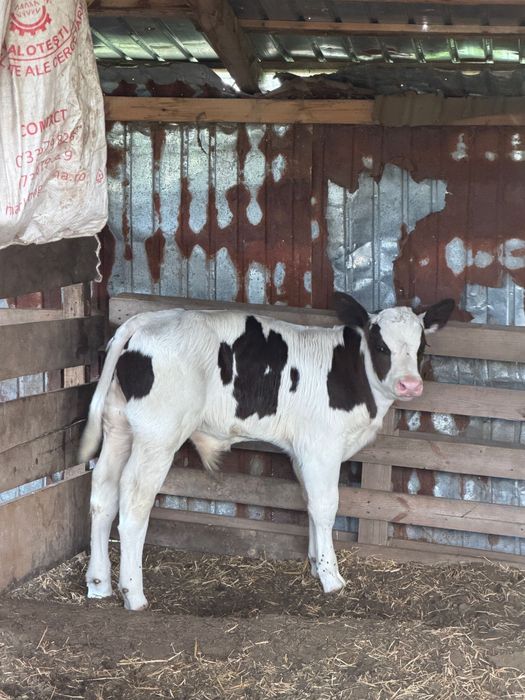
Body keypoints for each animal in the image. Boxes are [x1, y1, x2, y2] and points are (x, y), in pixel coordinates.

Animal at [79, 293, 454, 611]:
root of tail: (144, 320)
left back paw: (99, 584)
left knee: (102, 492)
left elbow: (309, 502)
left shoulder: (302, 451)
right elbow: (325, 507)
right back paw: (133, 593)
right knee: (133, 499)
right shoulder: (321, 447)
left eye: (422, 346)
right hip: (158, 435)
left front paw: (315, 563)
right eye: (380, 345)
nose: (410, 385)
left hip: (119, 428)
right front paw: (331, 577)